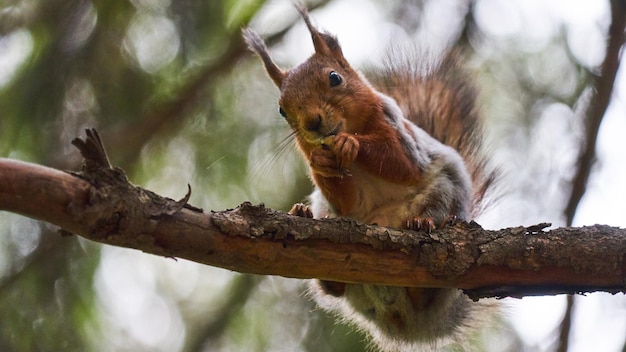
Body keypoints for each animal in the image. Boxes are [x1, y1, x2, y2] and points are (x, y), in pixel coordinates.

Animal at [241, 6, 494, 352]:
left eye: (335, 78)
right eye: (282, 109)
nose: (312, 123)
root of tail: (407, 325)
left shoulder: (401, 135)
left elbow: (402, 164)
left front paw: (352, 144)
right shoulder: (342, 192)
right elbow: (347, 202)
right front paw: (321, 160)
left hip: (446, 192)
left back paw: (422, 226)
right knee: (334, 286)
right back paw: (304, 216)